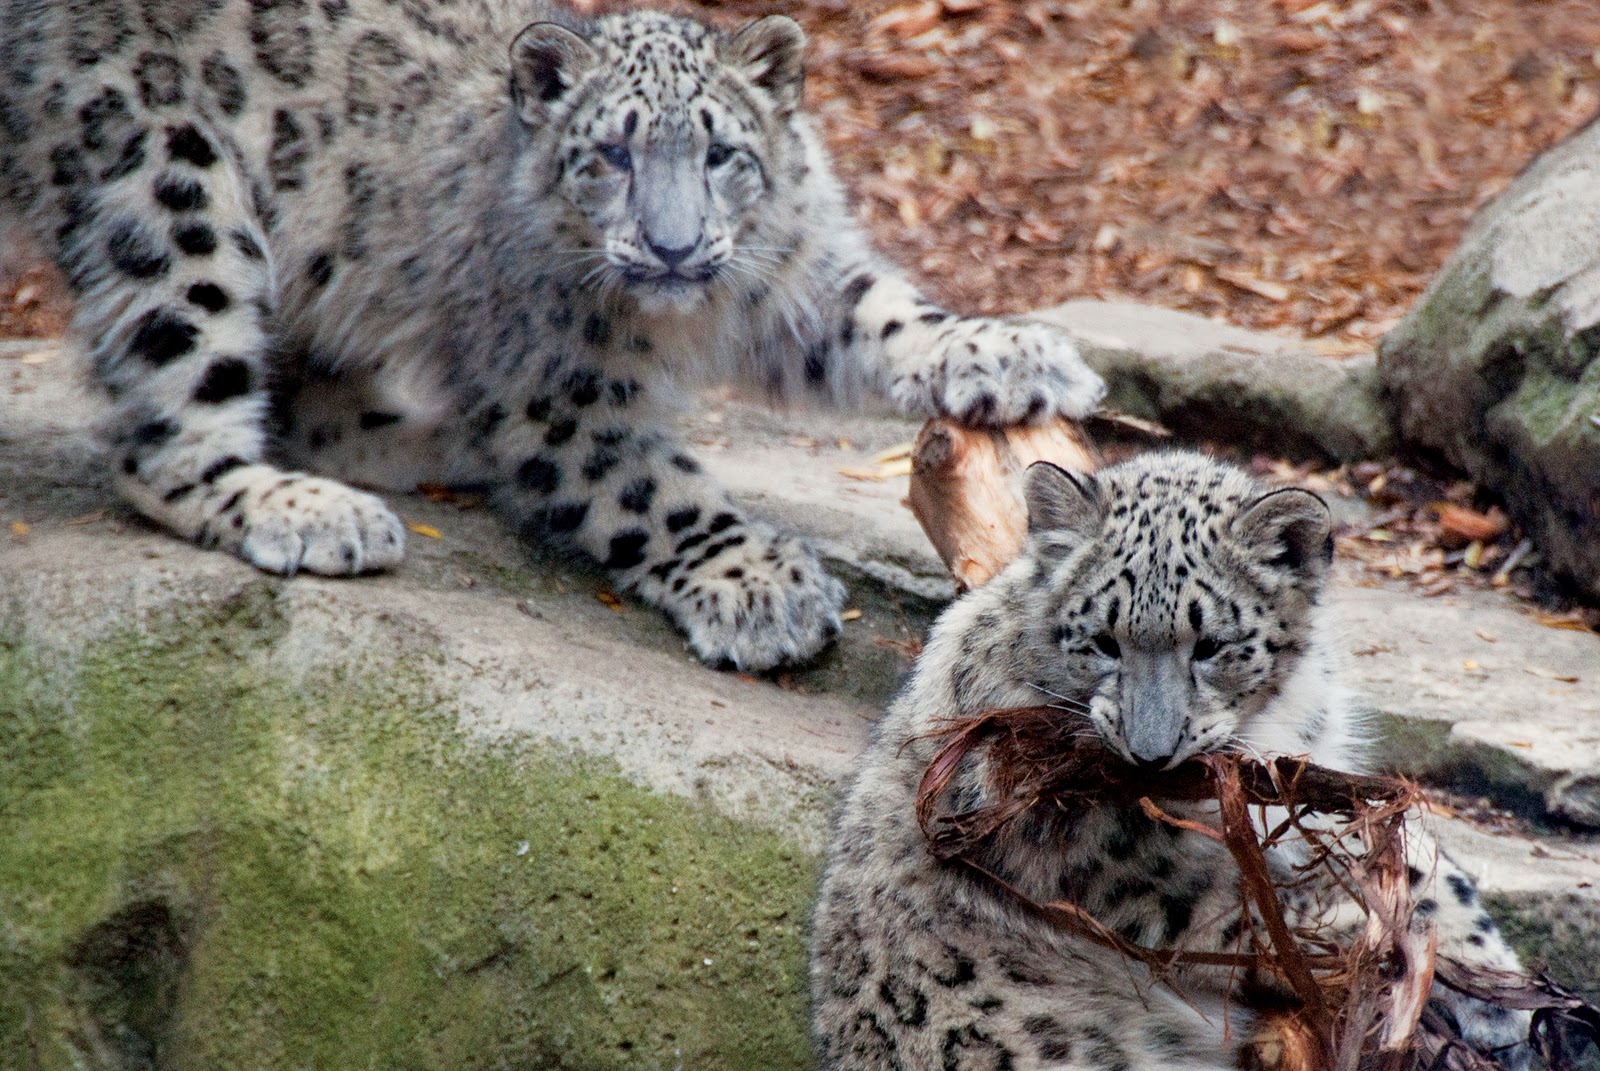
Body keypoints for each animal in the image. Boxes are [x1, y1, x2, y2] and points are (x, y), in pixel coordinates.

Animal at [0, 0, 1106, 671]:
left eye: (723, 153)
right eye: (610, 154)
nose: (672, 245)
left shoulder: (791, 277)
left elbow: (882, 311)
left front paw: (1011, 353)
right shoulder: (553, 389)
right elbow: (650, 490)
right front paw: (762, 583)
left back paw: (424, 447)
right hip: (170, 193)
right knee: (164, 428)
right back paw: (310, 510)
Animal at [811, 452, 1533, 1071]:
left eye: (1210, 644)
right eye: (1103, 640)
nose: (1150, 750)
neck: (1269, 725)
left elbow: (1418, 860)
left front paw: (1498, 983)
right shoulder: (1141, 866)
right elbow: (1293, 911)